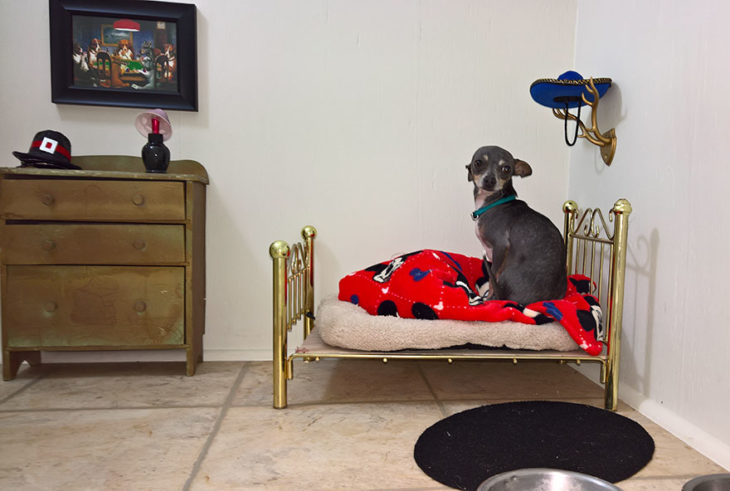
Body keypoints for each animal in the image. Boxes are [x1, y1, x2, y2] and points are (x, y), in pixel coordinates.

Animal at [464, 146, 564, 306]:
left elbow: (492, 280)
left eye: (506, 169)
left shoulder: (500, 247)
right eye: (478, 163)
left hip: (507, 271)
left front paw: (487, 298)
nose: (490, 180)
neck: (493, 202)